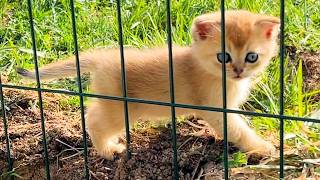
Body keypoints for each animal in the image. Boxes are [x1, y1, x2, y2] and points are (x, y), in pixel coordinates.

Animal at [18, 10, 280, 159]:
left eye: (252, 57)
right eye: (223, 57)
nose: (238, 71)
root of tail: (103, 56)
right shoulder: (215, 109)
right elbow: (238, 129)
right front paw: (262, 147)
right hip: (120, 110)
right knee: (93, 121)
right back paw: (108, 151)